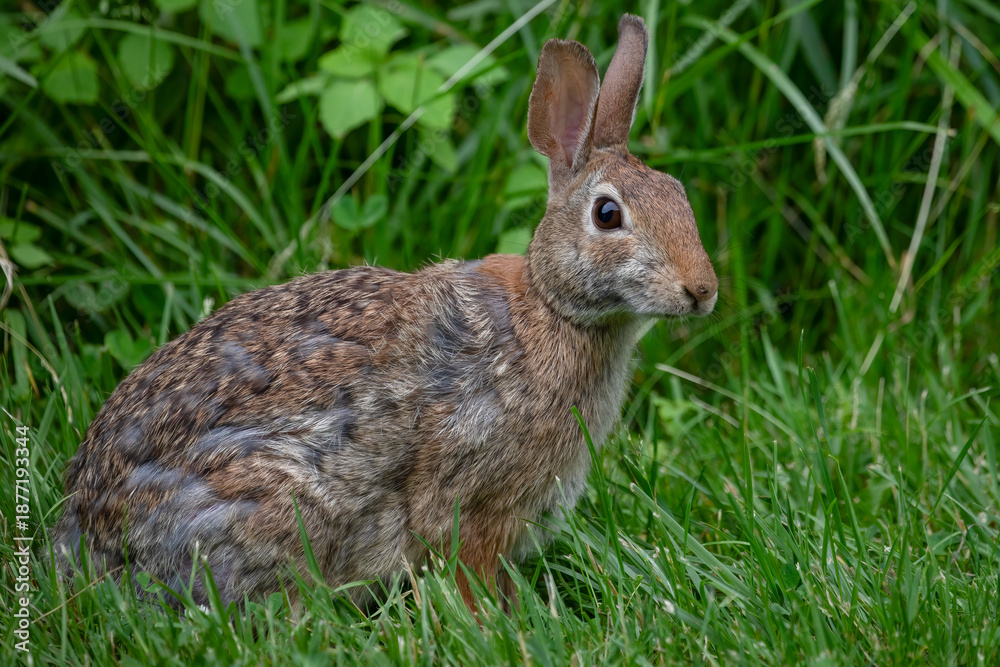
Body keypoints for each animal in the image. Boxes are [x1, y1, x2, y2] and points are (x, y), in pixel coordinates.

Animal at [52, 14, 718, 613]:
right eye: (608, 215)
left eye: (680, 194)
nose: (703, 291)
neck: (552, 311)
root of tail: (88, 541)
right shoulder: (472, 501)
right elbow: (468, 568)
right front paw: (500, 623)